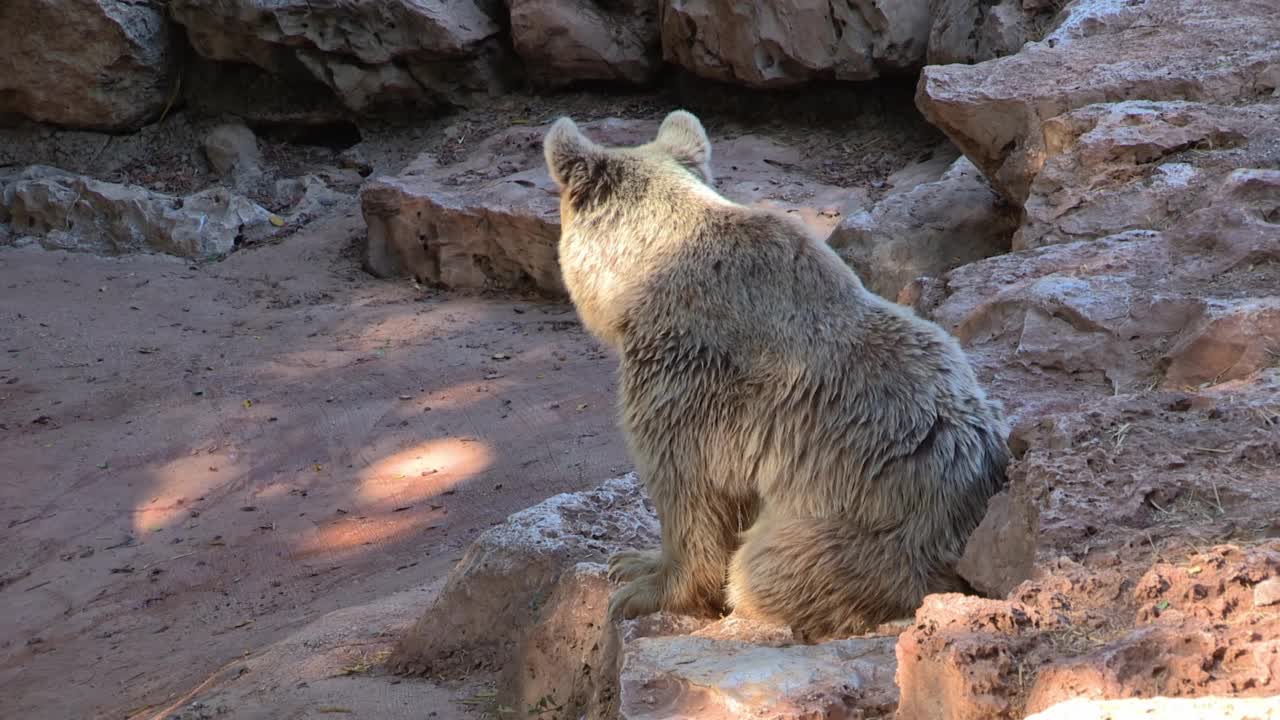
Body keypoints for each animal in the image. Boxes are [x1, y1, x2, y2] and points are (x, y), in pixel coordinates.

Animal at [540, 109, 1008, 635]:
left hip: (868, 532)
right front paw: (632, 560)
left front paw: (643, 590)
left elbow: (691, 493)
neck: (646, 280)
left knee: (768, 566)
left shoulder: (690, 378)